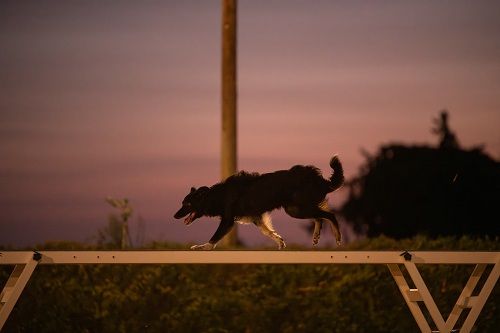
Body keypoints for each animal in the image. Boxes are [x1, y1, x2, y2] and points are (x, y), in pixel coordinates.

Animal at [173, 154, 344, 248]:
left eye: (187, 204)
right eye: (182, 203)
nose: (174, 216)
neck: (217, 196)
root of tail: (318, 179)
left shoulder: (228, 220)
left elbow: (213, 239)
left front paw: (201, 247)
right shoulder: (257, 218)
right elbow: (268, 232)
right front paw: (280, 241)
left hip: (297, 209)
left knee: (330, 215)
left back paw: (337, 237)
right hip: (296, 208)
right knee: (320, 216)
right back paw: (316, 236)